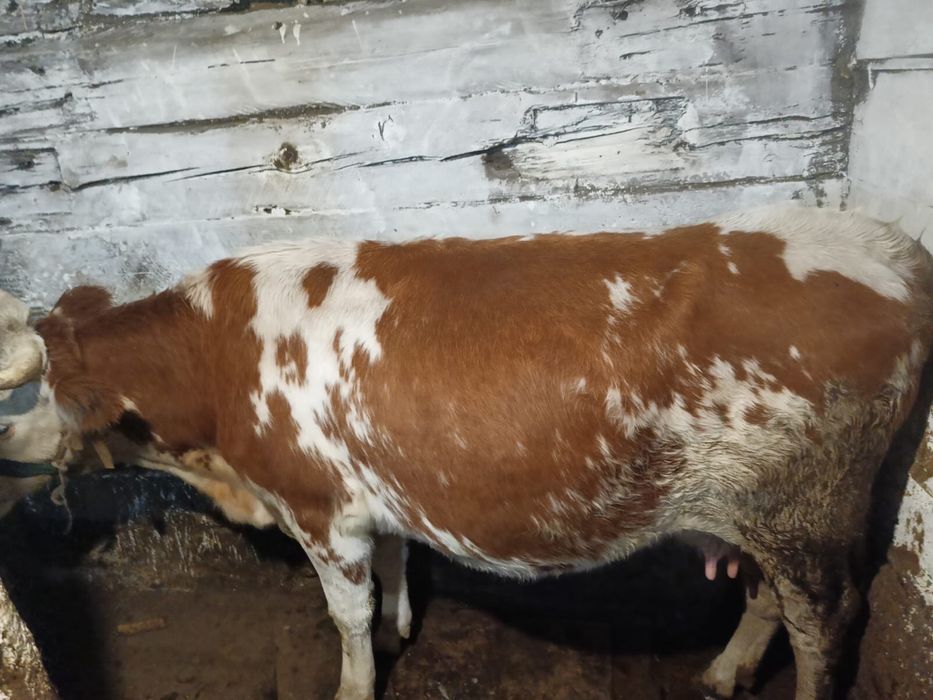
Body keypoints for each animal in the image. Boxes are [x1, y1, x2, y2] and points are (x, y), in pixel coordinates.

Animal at [1, 205, 931, 700]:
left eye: (34, 388)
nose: (5, 438)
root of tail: (884, 246)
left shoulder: (318, 508)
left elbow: (345, 611)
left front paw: (354, 681)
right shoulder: (373, 490)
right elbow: (396, 565)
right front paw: (399, 630)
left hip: (807, 513)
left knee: (824, 620)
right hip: (761, 510)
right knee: (766, 599)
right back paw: (724, 671)